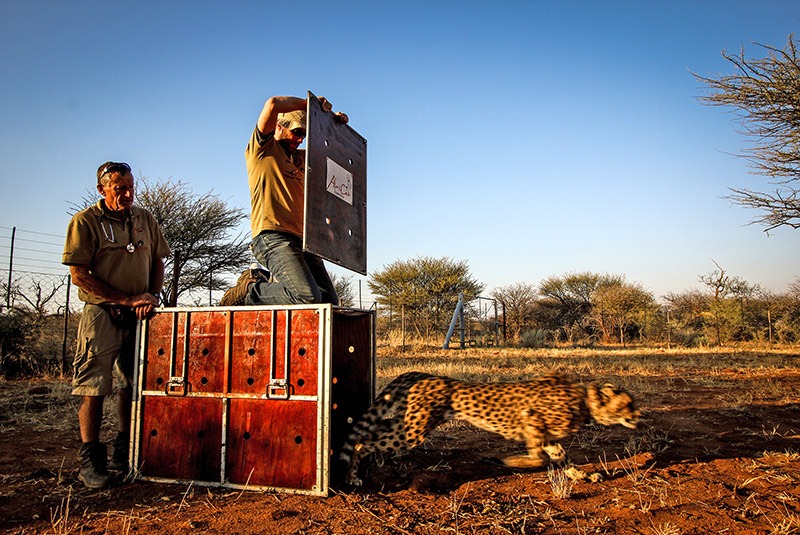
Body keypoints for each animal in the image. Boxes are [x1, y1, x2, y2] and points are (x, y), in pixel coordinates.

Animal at [340, 370, 640, 488]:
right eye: (628, 403)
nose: (639, 414)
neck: (585, 399)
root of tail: (424, 375)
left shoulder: (547, 436)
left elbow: (561, 457)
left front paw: (581, 476)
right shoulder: (531, 419)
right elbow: (538, 458)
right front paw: (512, 461)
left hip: (409, 421)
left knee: (366, 434)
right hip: (413, 430)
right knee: (362, 440)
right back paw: (351, 476)